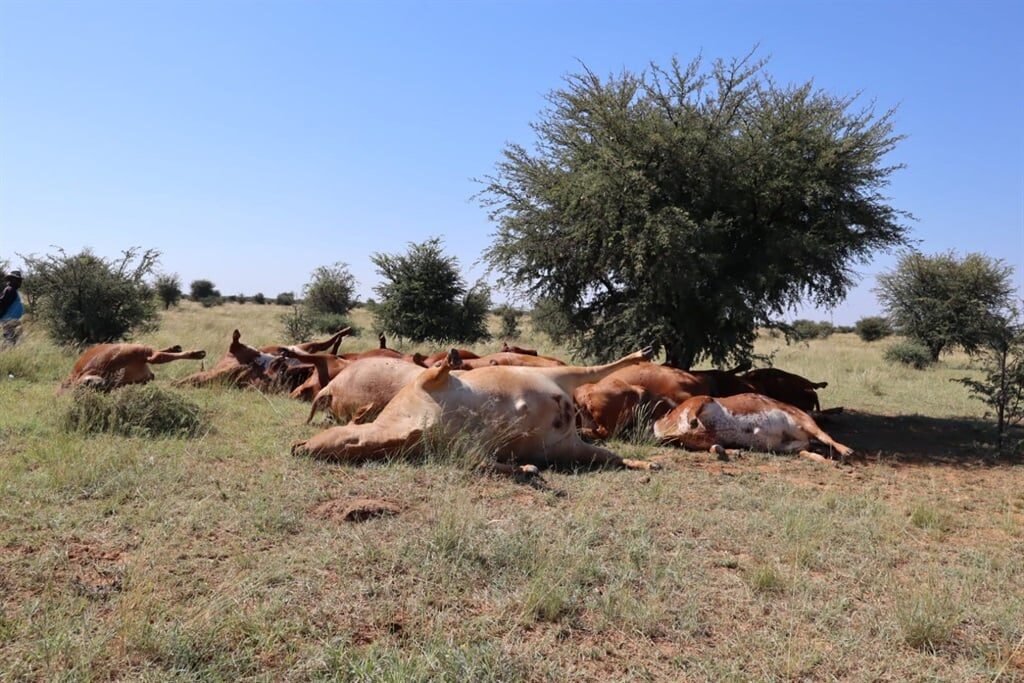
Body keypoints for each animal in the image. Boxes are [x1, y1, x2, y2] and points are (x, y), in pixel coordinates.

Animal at [61, 343, 206, 391]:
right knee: (157, 356)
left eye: (87, 383)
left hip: (135, 350)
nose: (101, 384)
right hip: (140, 354)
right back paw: (196, 353)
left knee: (157, 355)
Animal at [292, 348, 662, 473]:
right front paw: (527, 469)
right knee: (612, 458)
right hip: (571, 448)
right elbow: (483, 463)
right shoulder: (466, 449)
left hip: (564, 376)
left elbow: (436, 371)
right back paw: (645, 463)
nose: (297, 447)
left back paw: (639, 354)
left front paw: (452, 357)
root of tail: (569, 416)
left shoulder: (425, 385)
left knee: (597, 369)